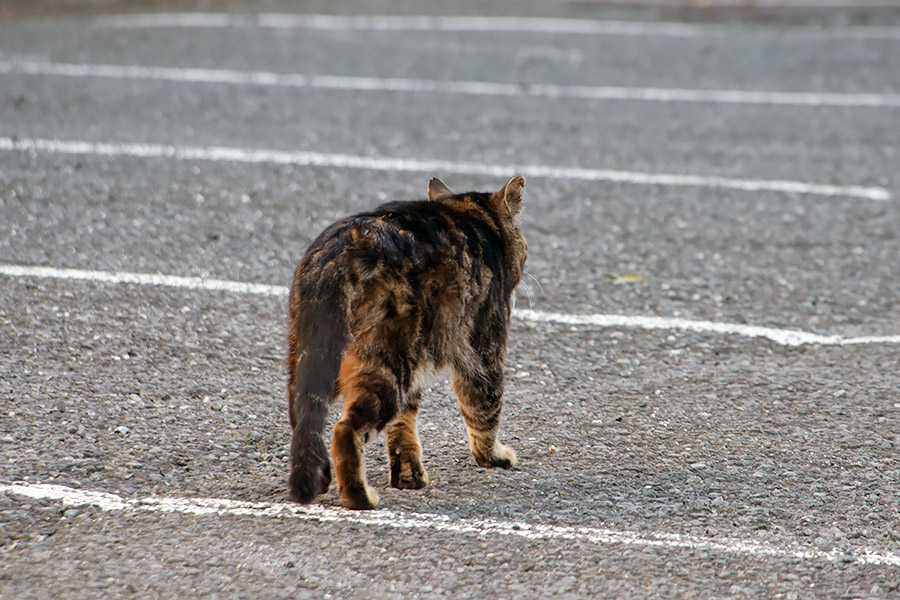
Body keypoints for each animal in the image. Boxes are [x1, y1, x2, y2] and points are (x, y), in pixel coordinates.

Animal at [286, 175, 528, 510]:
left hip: (313, 358)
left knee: (305, 421)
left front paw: (408, 476)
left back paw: (320, 476)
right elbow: (484, 407)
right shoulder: (483, 349)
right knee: (345, 430)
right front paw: (493, 457)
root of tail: (345, 246)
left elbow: (404, 427)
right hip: (387, 366)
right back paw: (359, 496)